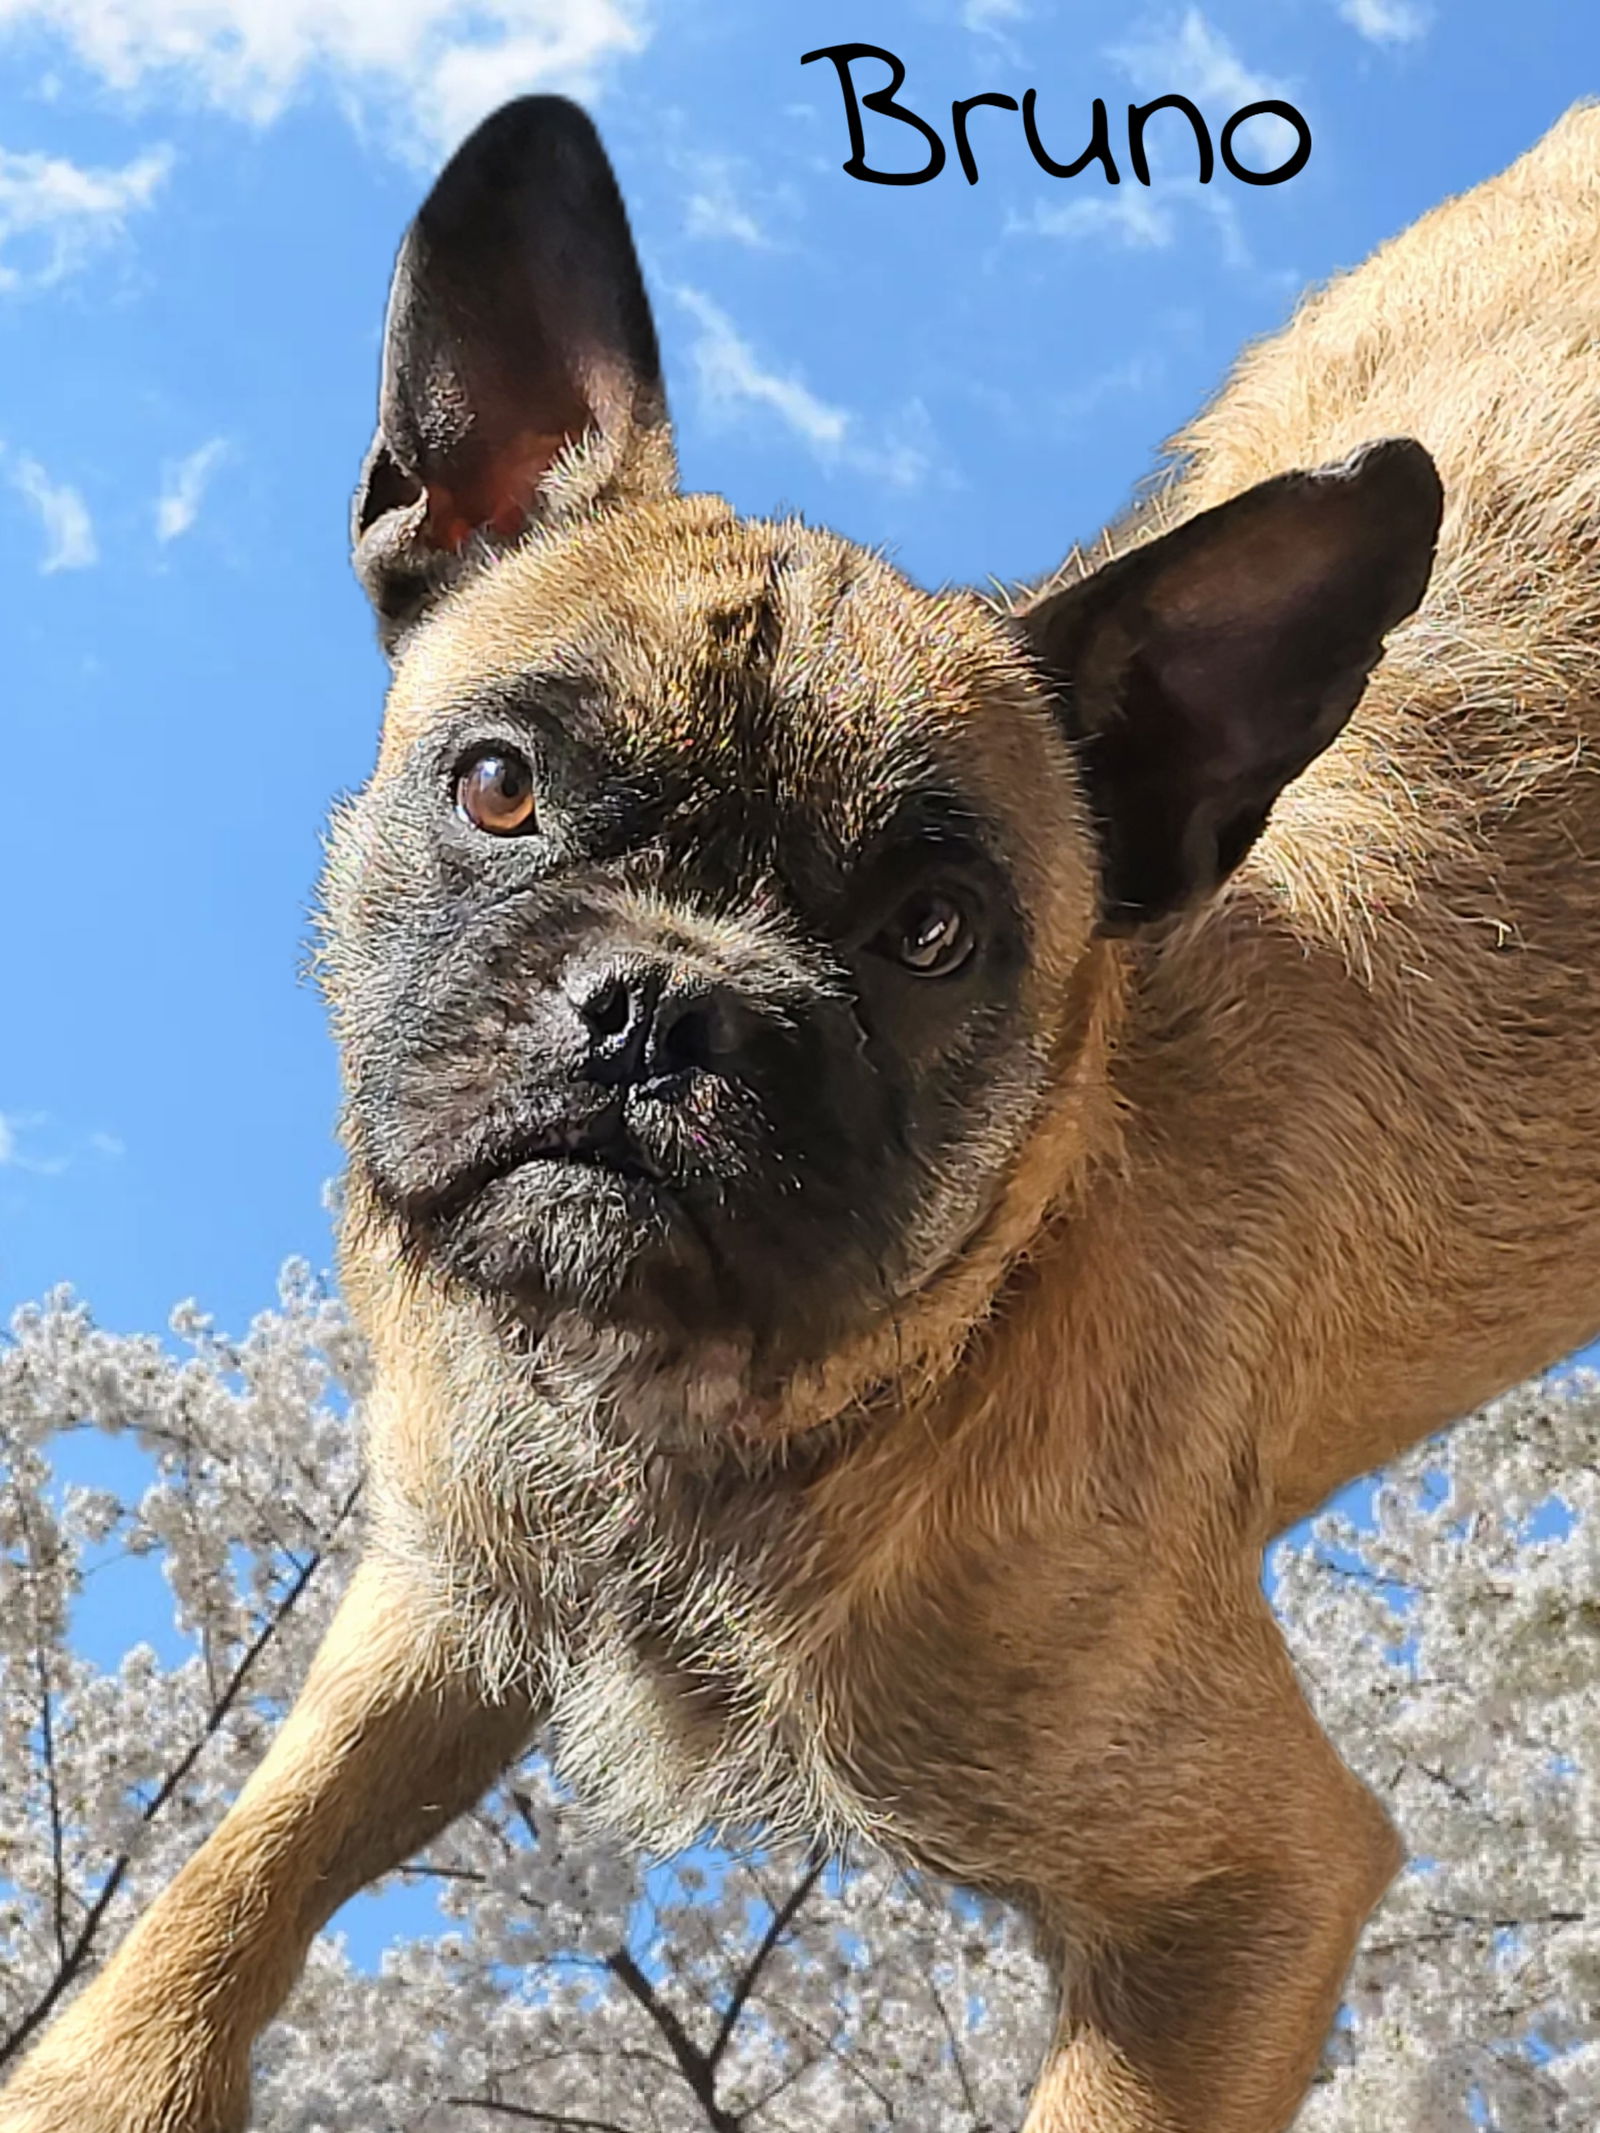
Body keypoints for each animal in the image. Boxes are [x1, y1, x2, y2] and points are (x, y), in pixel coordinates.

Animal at [3, 91, 1600, 2133]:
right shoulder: (441, 1582)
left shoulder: (1240, 1894)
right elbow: (248, 1855)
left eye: (931, 934)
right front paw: (110, 2066)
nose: (662, 1006)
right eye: (499, 787)